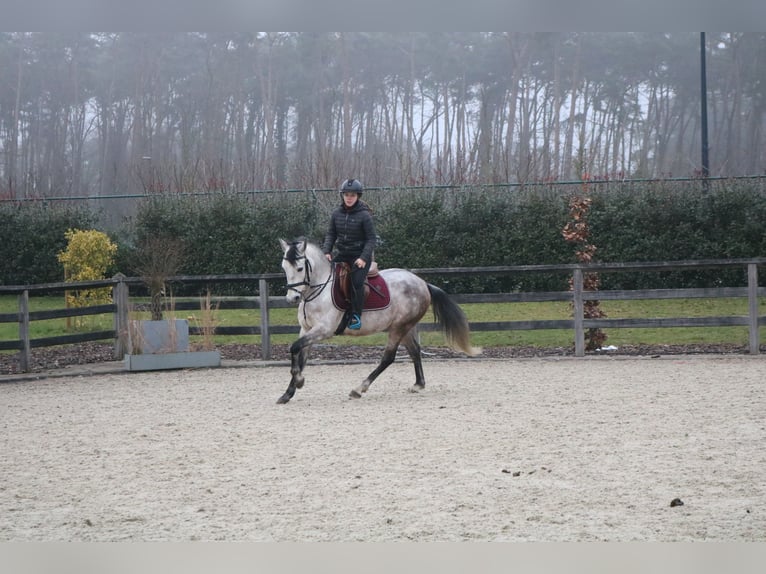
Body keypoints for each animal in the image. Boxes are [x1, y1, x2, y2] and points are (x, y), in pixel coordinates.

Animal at [276, 238, 480, 404]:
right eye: (284, 268)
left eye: (300, 268)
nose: (292, 299)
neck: (319, 290)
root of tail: (422, 283)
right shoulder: (306, 329)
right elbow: (300, 357)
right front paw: (288, 393)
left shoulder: (323, 330)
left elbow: (294, 348)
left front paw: (299, 381)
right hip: (405, 328)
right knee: (415, 351)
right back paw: (418, 384)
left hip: (399, 328)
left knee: (388, 358)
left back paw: (359, 388)